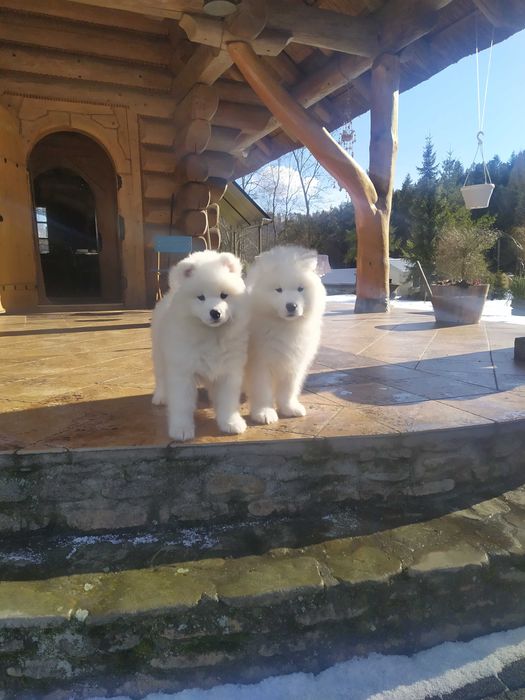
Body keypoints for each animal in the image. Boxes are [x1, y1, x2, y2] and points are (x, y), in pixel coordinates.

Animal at [150, 249, 249, 440]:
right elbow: (181, 404)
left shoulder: (228, 370)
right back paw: (160, 397)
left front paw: (231, 423)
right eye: (201, 297)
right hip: (159, 354)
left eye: (224, 295)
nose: (215, 313)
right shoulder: (182, 370)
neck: (211, 335)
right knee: (161, 377)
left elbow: (227, 401)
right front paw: (181, 429)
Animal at [245, 243, 326, 424]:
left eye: (300, 289)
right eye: (278, 290)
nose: (291, 306)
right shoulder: (260, 363)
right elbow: (263, 390)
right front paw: (264, 413)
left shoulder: (294, 363)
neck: (284, 326)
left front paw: (289, 409)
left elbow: (289, 389)